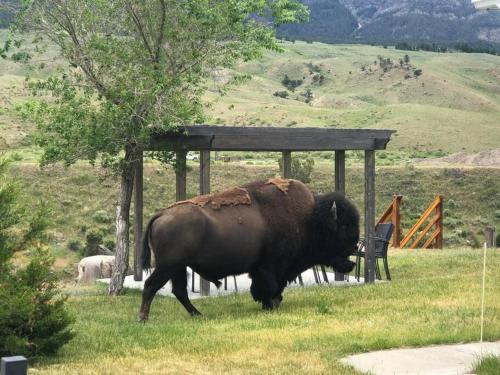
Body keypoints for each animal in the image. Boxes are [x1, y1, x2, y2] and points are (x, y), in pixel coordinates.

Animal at [139, 179, 360, 320]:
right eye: (343, 226)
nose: (355, 244)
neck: (310, 219)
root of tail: (160, 214)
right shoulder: (272, 266)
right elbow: (271, 286)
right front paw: (272, 304)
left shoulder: (261, 268)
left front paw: (269, 304)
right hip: (168, 266)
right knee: (151, 286)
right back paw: (143, 318)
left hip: (177, 267)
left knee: (179, 291)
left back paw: (198, 315)